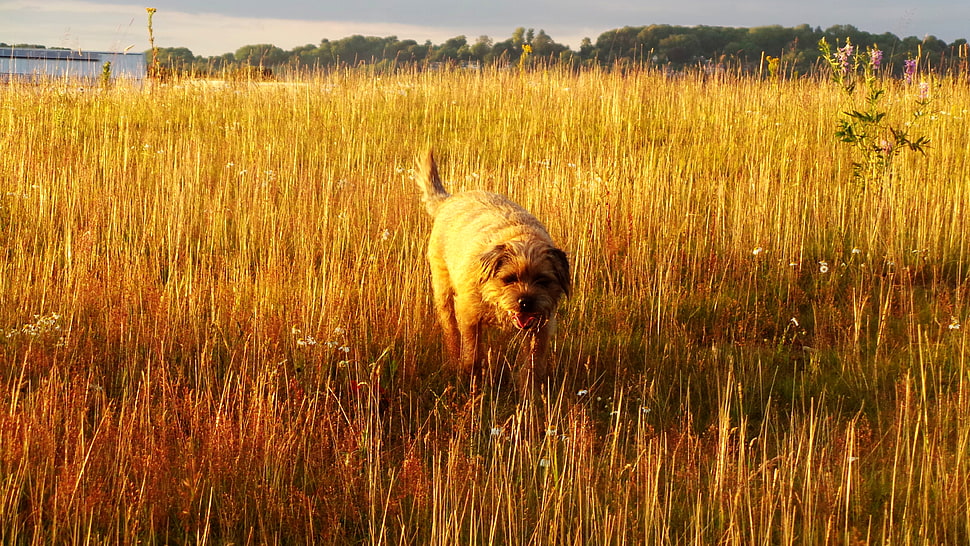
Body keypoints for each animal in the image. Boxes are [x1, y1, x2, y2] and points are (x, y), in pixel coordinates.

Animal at [414, 148, 568, 386]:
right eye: (509, 279)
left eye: (543, 280)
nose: (525, 302)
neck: (521, 240)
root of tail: (450, 199)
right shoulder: (469, 315)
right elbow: (472, 353)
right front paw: (471, 379)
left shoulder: (542, 325)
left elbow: (533, 362)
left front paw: (529, 390)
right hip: (443, 290)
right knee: (450, 328)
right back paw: (453, 357)